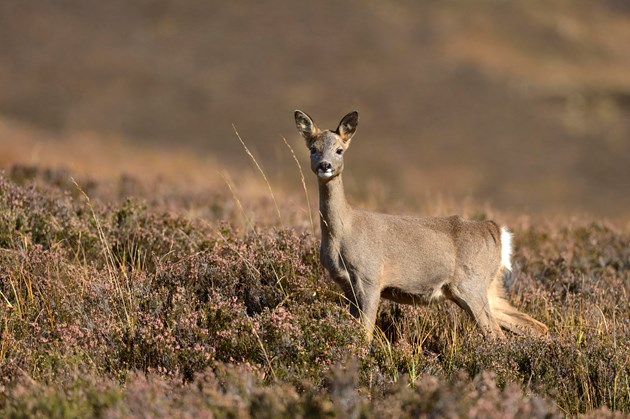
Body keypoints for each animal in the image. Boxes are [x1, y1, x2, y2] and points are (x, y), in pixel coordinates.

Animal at [296, 110, 548, 342]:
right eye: (313, 149)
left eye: (339, 150)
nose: (325, 165)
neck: (343, 232)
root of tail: (496, 232)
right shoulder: (346, 284)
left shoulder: (370, 277)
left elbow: (365, 333)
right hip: (488, 287)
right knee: (534, 326)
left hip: (471, 284)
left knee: (496, 333)